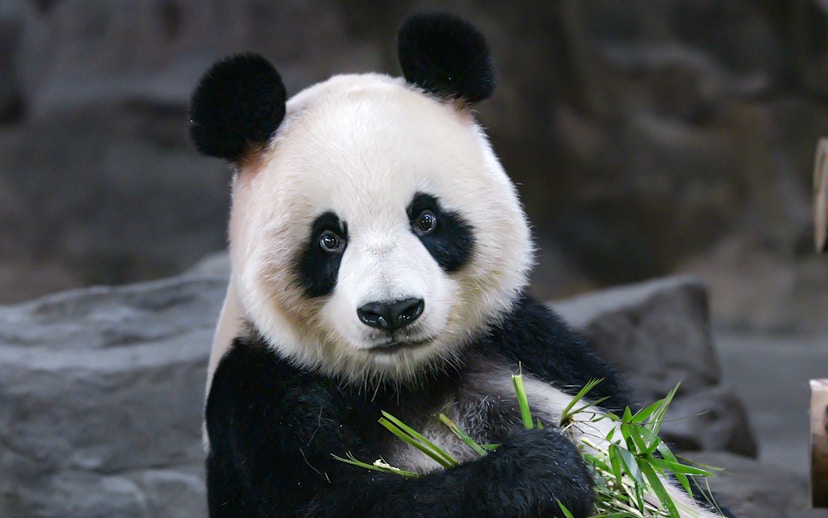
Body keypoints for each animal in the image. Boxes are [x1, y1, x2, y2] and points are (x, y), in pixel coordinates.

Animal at [191, 12, 720, 518]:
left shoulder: (535, 346)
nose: (392, 311)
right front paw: (540, 472)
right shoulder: (260, 398)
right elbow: (336, 500)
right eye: (329, 240)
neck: (404, 382)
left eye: (426, 219)